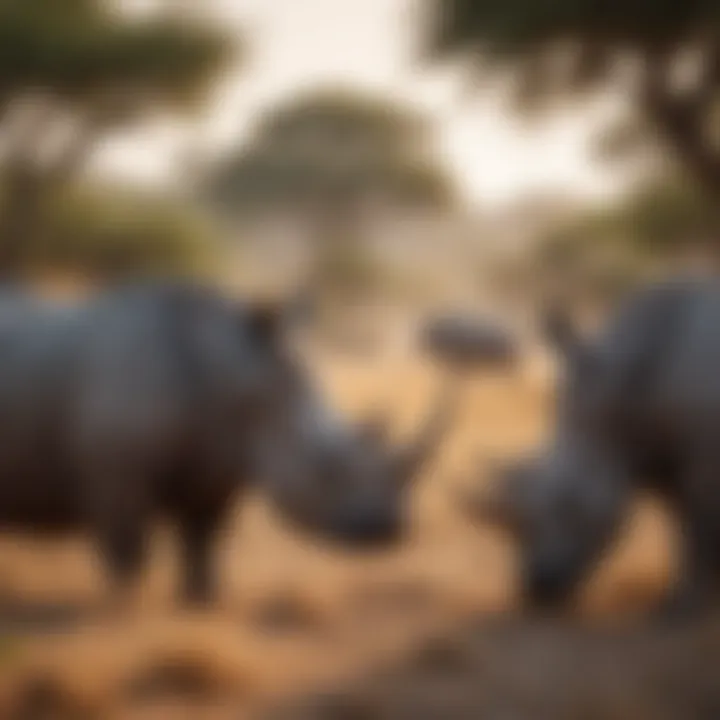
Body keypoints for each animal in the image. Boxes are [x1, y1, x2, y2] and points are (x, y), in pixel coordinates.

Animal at [0, 282, 456, 608]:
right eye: (323, 468)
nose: (387, 531)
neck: (241, 379)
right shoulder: (116, 475)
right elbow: (128, 553)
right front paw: (124, 609)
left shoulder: (221, 466)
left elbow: (205, 540)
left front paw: (202, 601)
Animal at [464, 276, 720, 620]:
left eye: (572, 503)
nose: (538, 588)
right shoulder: (655, 452)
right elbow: (679, 524)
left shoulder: (702, 460)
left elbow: (698, 529)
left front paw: (681, 613)